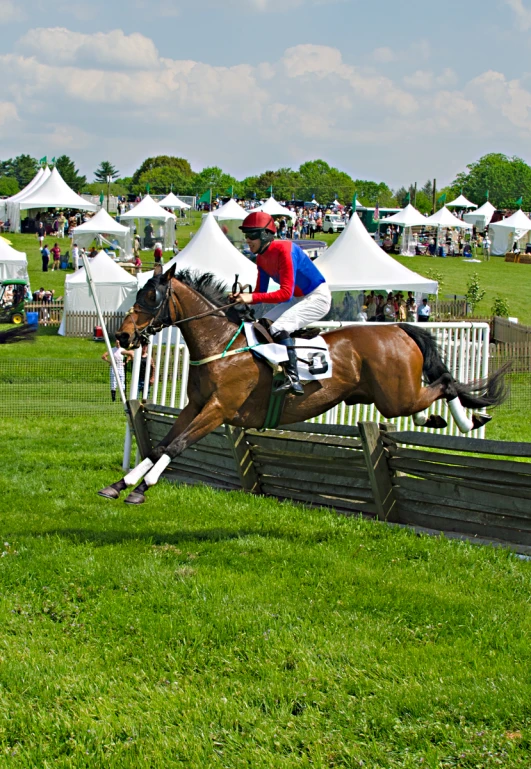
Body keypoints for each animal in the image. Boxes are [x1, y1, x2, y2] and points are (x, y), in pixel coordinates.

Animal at [97, 264, 510, 504]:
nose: (123, 336)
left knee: (445, 383)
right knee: (431, 392)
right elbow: (159, 445)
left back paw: (469, 421)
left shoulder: (219, 409)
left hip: (396, 395)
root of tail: (397, 327)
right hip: (386, 396)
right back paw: (439, 420)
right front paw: (121, 483)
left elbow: (177, 445)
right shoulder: (196, 406)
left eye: (152, 296)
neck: (220, 345)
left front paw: (142, 489)